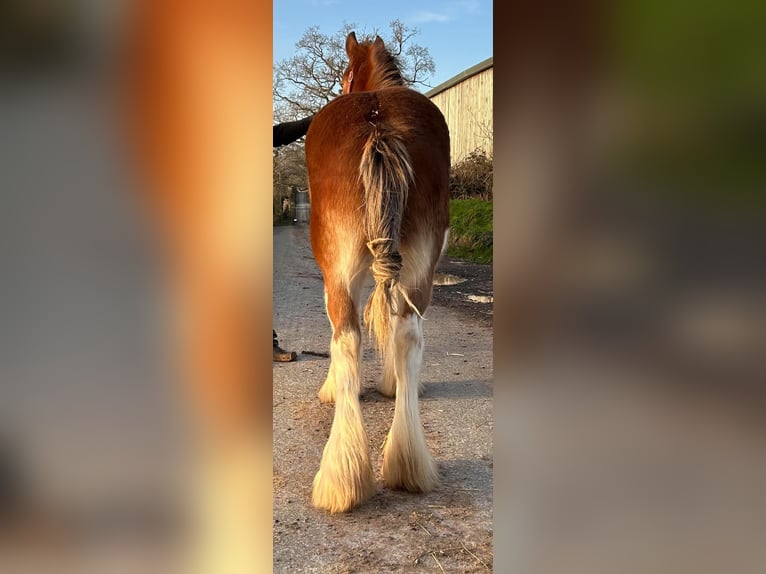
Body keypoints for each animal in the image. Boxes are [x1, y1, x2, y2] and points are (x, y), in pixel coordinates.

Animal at [304, 33, 450, 516]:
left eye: (346, 73)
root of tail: (378, 126)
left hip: (340, 265)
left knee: (347, 335)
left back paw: (342, 478)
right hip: (422, 263)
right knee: (408, 333)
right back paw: (406, 463)